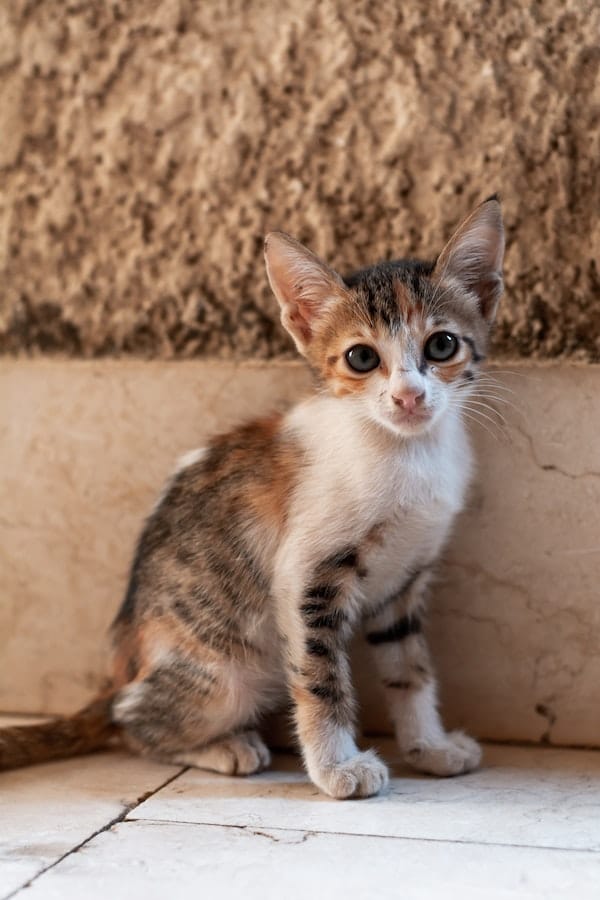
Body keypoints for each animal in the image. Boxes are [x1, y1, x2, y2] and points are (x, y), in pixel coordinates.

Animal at [1, 199, 506, 800]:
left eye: (442, 345)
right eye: (361, 358)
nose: (409, 396)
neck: (404, 450)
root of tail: (123, 670)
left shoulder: (405, 581)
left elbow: (411, 671)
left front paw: (429, 747)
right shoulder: (305, 575)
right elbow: (319, 676)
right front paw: (337, 768)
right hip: (228, 675)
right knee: (132, 723)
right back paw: (224, 747)